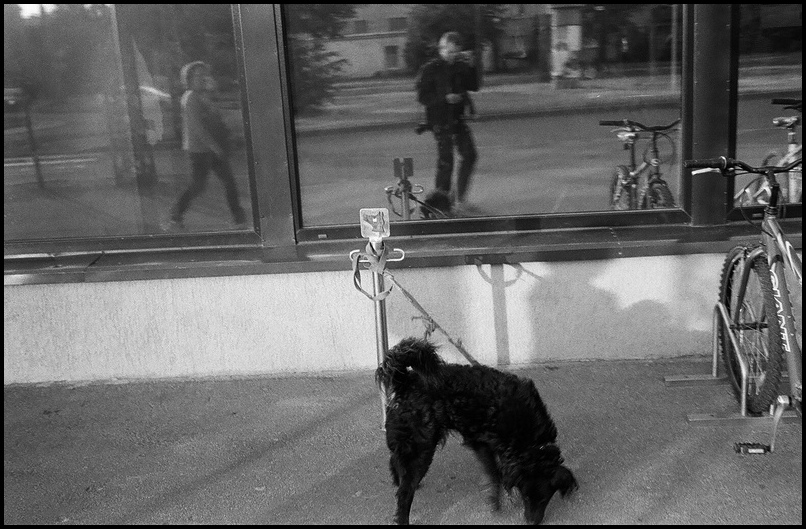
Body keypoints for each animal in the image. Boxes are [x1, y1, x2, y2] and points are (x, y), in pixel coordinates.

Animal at [375, 337, 577, 525]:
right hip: (421, 448)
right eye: (526, 497)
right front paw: (495, 501)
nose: (532, 522)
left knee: (395, 461)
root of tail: (406, 380)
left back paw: (399, 480)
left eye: (544, 499)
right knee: (404, 493)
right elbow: (495, 473)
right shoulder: (481, 441)